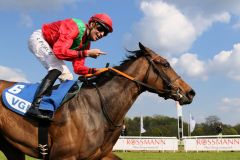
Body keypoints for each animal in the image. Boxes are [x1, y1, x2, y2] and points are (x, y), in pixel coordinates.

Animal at [0, 42, 195, 160]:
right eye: (165, 64)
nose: (190, 92)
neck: (98, 108)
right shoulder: (63, 155)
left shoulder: (99, 154)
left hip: (11, 146)